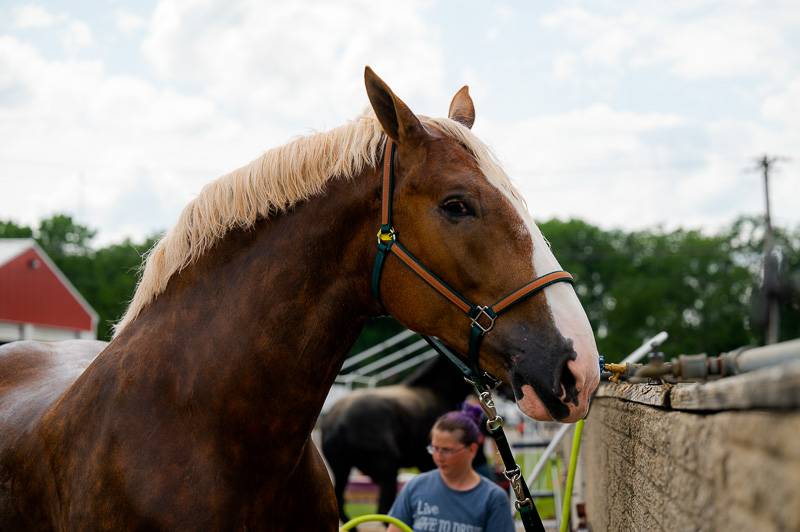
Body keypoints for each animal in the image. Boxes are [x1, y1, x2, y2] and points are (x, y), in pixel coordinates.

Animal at [324, 352, 488, 520]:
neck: (436, 391)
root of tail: (338, 422)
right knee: (383, 510)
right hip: (387, 473)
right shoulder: (427, 462)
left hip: (342, 471)